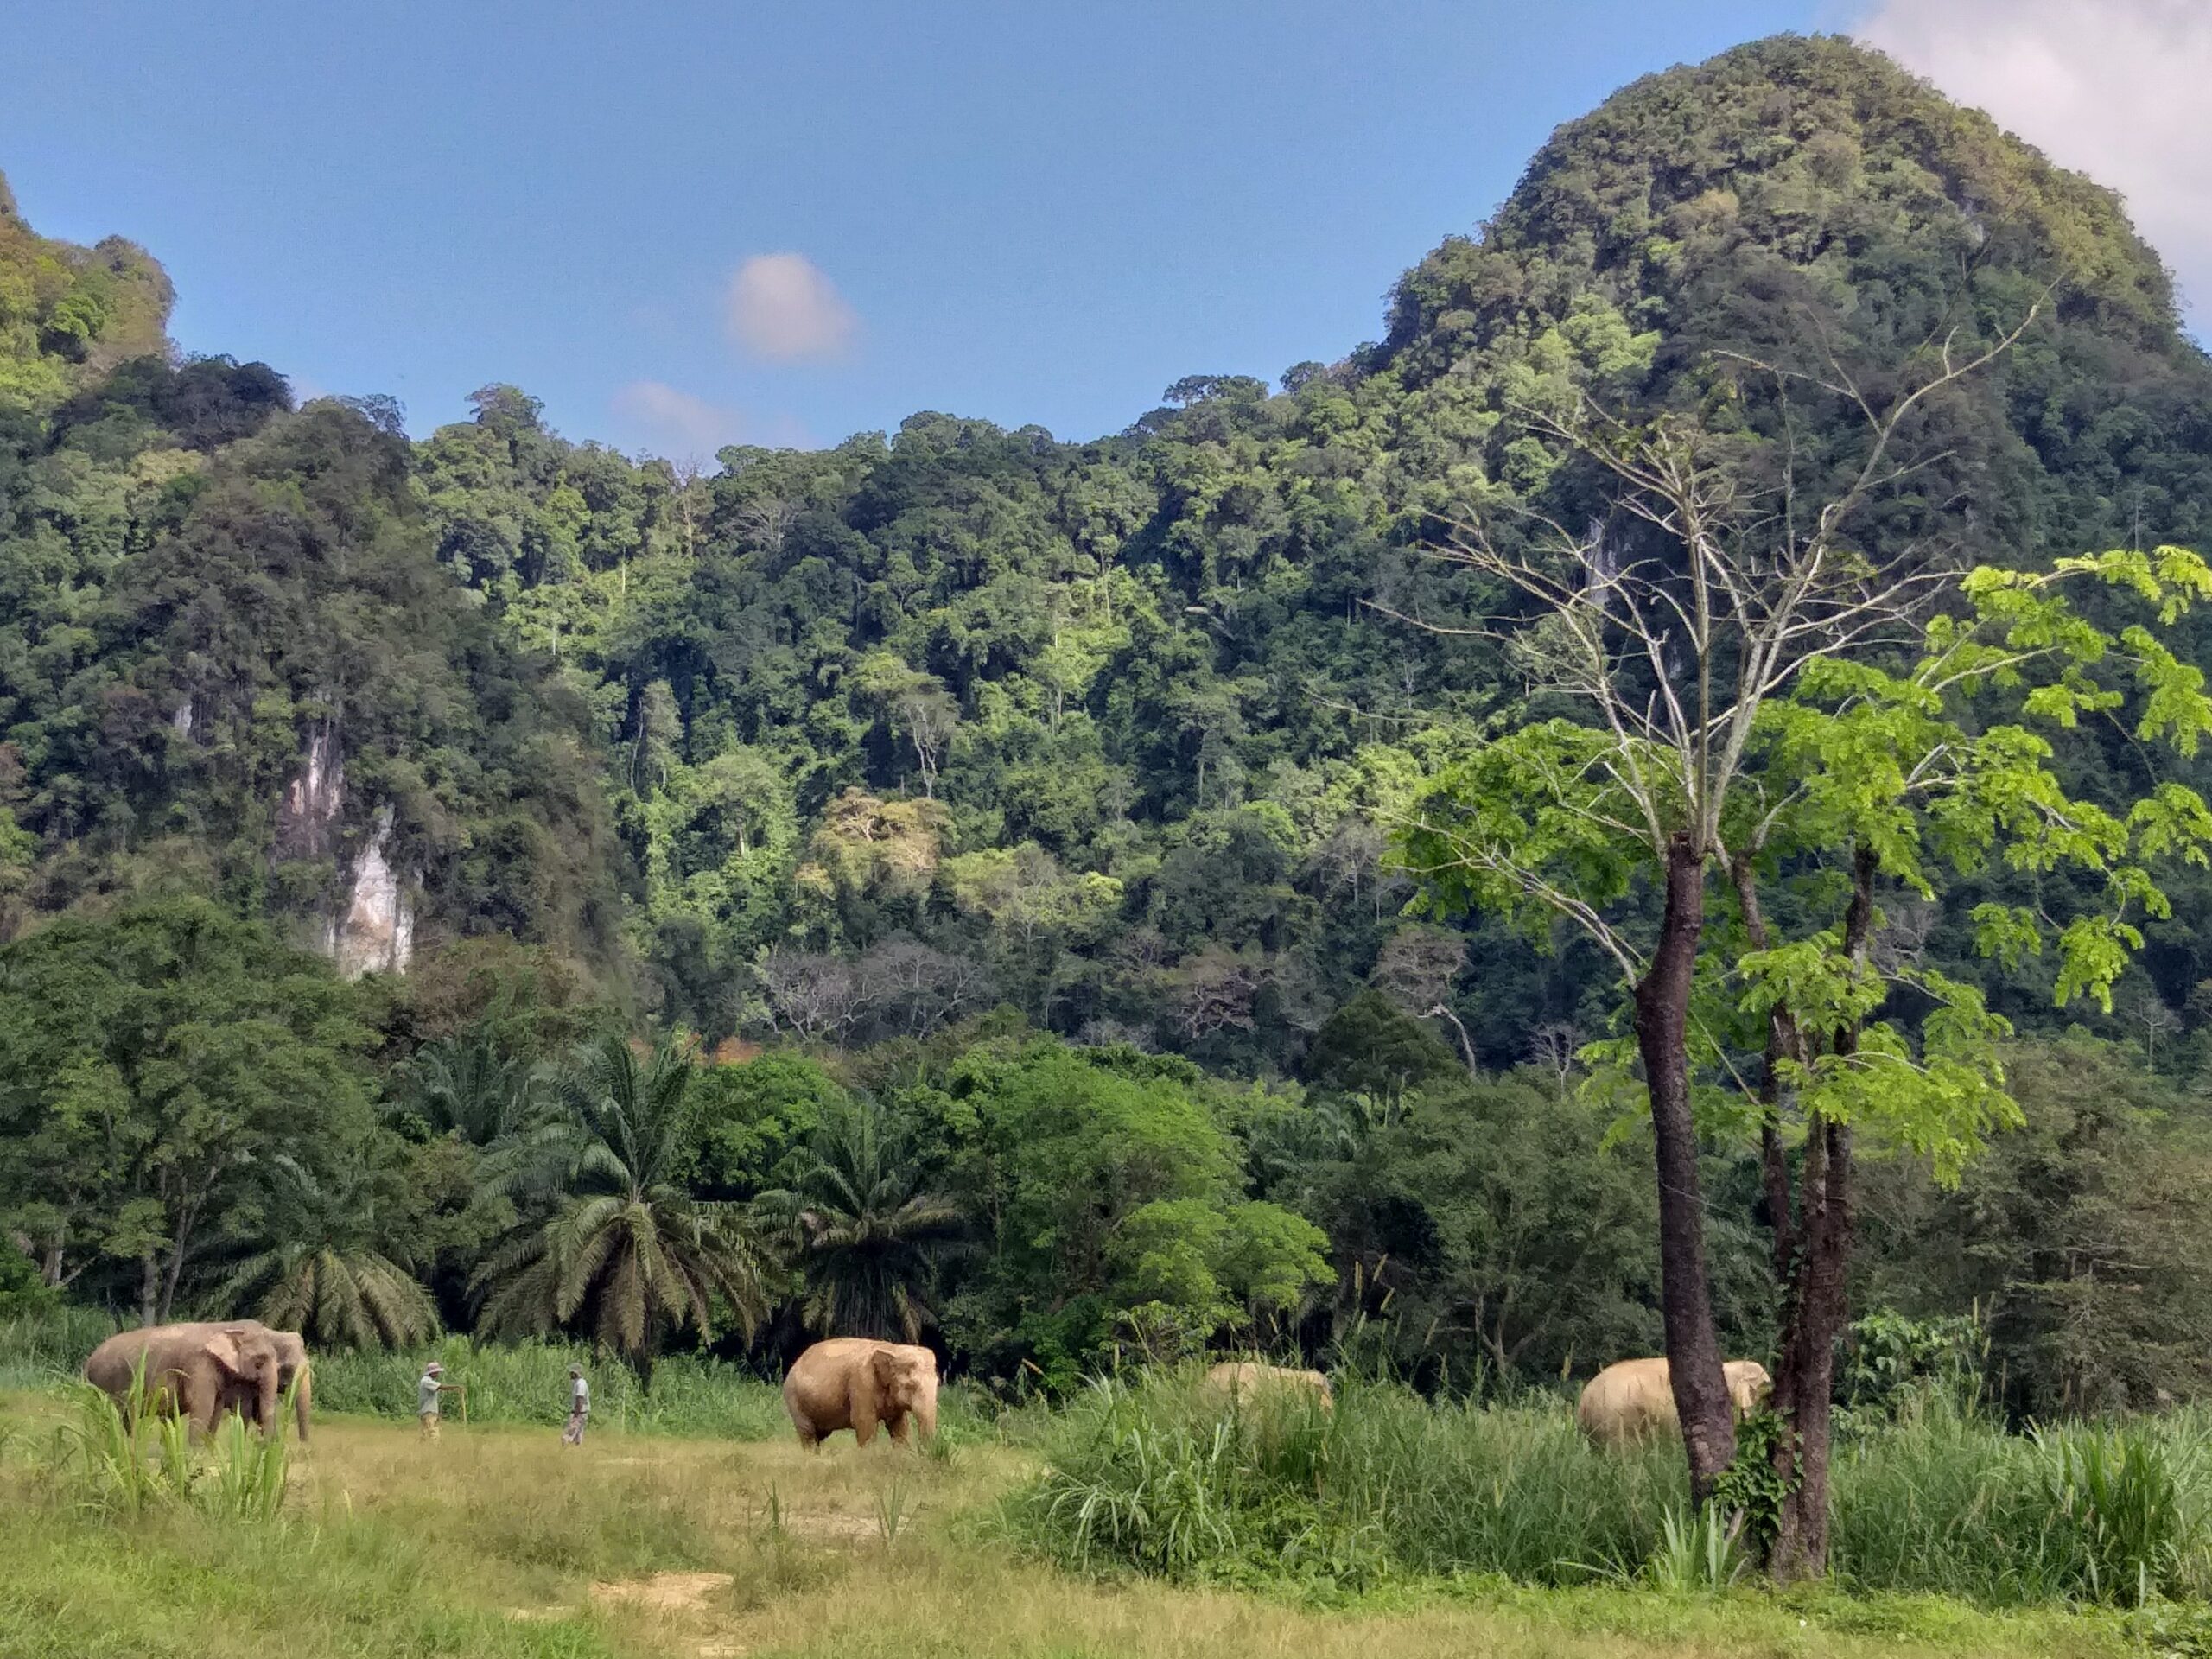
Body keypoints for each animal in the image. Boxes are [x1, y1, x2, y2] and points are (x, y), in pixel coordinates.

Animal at [84, 1327, 281, 1442]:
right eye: (260, 1361)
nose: (260, 1443)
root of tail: (89, 1361)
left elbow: (216, 1408)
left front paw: (208, 1449)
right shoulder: (198, 1365)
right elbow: (202, 1406)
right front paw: (194, 1451)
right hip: (107, 1383)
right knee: (120, 1414)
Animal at [783, 1336, 938, 1451]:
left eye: (937, 1383)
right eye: (911, 1386)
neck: (892, 1348)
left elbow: (899, 1426)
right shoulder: (861, 1383)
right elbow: (864, 1423)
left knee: (819, 1436)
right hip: (794, 1400)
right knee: (808, 1435)